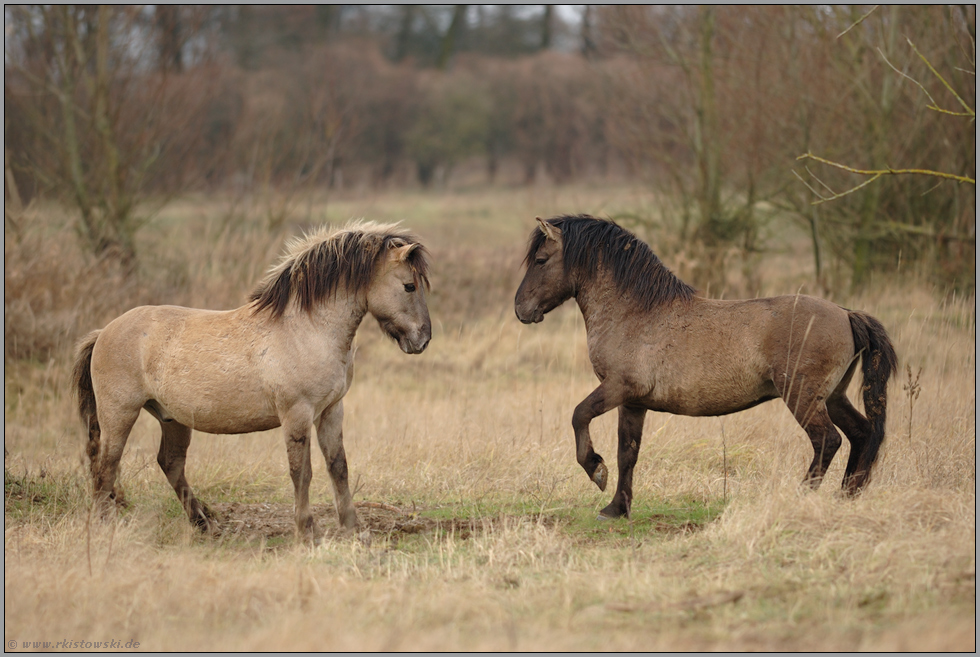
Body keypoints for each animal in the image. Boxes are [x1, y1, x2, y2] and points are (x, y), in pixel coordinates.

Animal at [71, 223, 430, 540]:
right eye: (408, 286)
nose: (423, 339)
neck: (307, 329)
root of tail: (103, 332)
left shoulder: (331, 411)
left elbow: (338, 466)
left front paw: (354, 529)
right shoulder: (297, 414)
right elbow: (302, 472)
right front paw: (307, 532)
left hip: (172, 419)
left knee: (170, 464)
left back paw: (204, 524)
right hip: (119, 414)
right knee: (106, 466)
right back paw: (104, 526)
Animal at [516, 215, 900, 516]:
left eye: (541, 259)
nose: (521, 308)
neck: (635, 313)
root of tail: (847, 314)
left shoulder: (617, 388)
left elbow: (579, 415)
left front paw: (596, 471)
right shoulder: (633, 402)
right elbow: (628, 452)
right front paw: (616, 508)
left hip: (803, 396)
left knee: (827, 441)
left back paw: (801, 496)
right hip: (833, 397)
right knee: (861, 433)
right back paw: (847, 496)